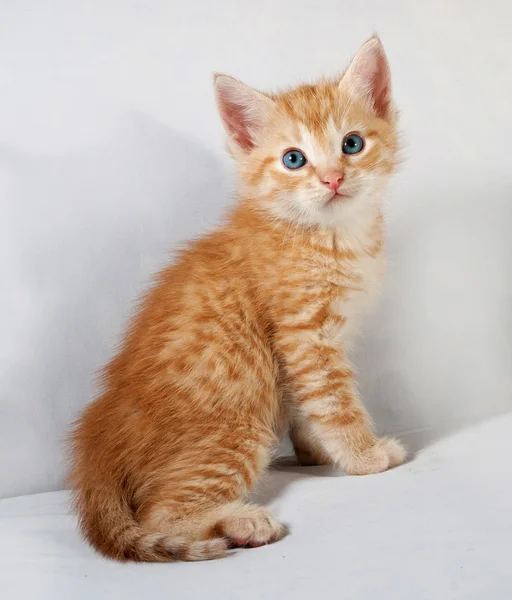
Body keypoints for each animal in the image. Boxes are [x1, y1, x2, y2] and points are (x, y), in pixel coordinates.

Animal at [69, 36, 404, 564]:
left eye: (352, 144)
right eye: (294, 159)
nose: (332, 179)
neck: (330, 235)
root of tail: (96, 439)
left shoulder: (302, 350)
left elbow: (307, 401)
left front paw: (313, 451)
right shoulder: (306, 335)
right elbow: (334, 399)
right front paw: (363, 455)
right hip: (235, 431)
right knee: (160, 515)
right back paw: (242, 522)